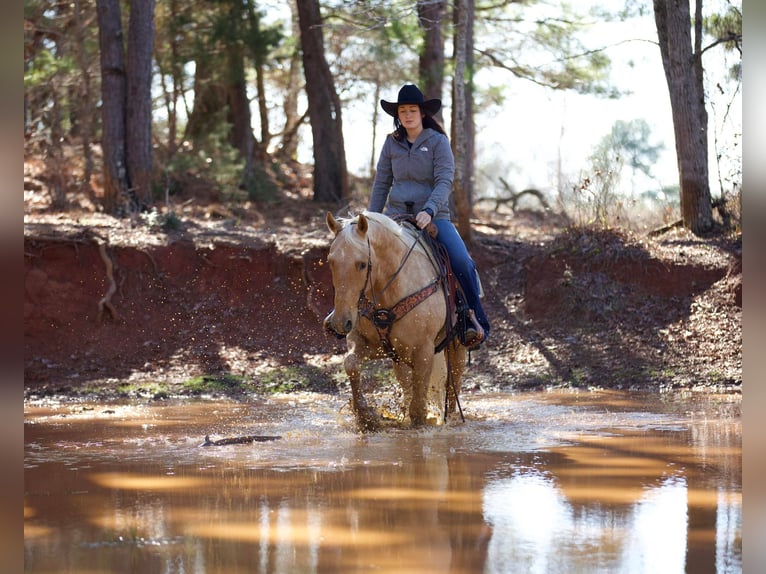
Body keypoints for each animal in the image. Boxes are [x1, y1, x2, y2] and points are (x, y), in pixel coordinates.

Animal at [324, 212, 468, 432]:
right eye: (331, 261)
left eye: (362, 264)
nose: (340, 322)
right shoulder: (369, 343)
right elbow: (351, 363)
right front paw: (364, 415)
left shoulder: (424, 351)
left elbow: (418, 405)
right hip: (400, 359)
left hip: (456, 347)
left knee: (453, 386)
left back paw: (451, 417)